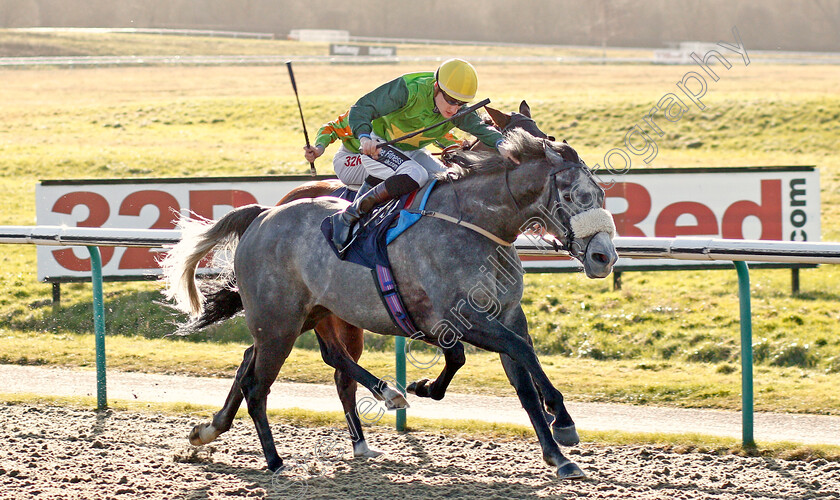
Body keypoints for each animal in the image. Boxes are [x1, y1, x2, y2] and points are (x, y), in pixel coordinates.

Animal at [164, 130, 620, 480]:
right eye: (575, 195)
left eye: (600, 194)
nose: (604, 257)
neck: (477, 225)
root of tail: (262, 214)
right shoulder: (463, 319)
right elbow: (517, 353)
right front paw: (563, 421)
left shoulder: (505, 316)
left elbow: (521, 380)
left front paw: (559, 457)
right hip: (280, 322)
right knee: (260, 385)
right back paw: (277, 460)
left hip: (305, 315)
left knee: (256, 363)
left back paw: (209, 430)